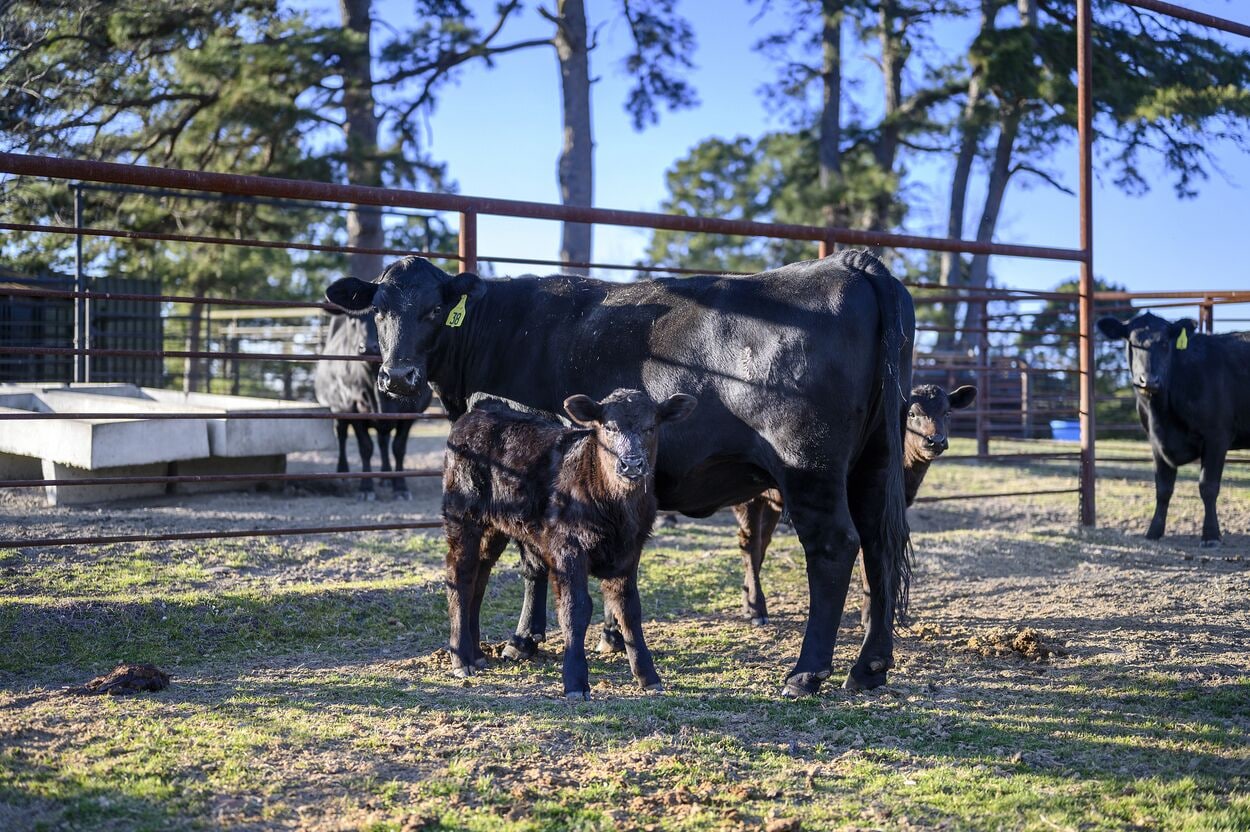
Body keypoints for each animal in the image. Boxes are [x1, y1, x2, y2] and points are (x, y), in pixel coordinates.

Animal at [313, 310, 428, 500]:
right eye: (353, 320)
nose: (367, 347)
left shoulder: (411, 412)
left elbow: (398, 448)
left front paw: (400, 487)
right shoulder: (353, 408)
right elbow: (365, 447)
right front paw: (366, 487)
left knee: (383, 440)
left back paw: (386, 476)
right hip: (337, 408)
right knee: (342, 435)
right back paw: (343, 472)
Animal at [442, 389, 696, 699]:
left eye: (651, 427)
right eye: (608, 427)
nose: (632, 464)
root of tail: (478, 410)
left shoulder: (629, 551)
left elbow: (629, 610)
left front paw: (648, 677)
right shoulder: (568, 548)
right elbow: (576, 608)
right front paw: (575, 681)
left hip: (494, 527)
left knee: (480, 575)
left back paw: (476, 653)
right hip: (462, 515)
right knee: (460, 576)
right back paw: (461, 658)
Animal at [1098, 312, 1250, 546]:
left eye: (1164, 343)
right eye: (1132, 342)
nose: (1149, 380)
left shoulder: (1217, 436)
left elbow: (1208, 486)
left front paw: (1211, 535)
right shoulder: (1156, 442)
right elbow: (1163, 488)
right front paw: (1154, 531)